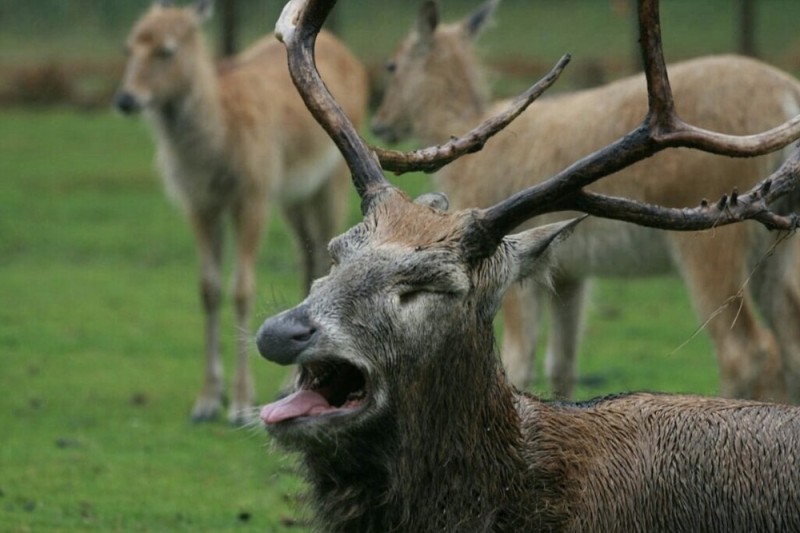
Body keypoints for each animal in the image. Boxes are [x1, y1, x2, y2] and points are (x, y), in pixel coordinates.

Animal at [113, 0, 368, 424]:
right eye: (129, 46)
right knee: (308, 255)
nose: (126, 99)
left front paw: (240, 403)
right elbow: (209, 287)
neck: (215, 148)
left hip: (330, 180)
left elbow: (243, 288)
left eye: (167, 50)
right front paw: (206, 401)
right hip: (293, 195)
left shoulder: (254, 193)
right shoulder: (200, 202)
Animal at [370, 0, 800, 402]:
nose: (379, 124)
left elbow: (518, 361)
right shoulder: (568, 272)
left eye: (391, 65)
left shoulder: (501, 251)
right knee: (788, 334)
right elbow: (562, 364)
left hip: (713, 231)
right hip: (777, 238)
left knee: (746, 349)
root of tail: (787, 95)